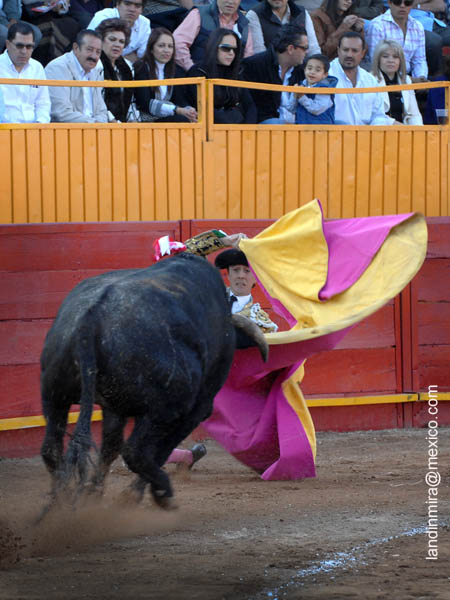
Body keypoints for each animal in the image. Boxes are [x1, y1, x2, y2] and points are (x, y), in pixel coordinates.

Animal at [39, 251, 268, 508]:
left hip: (54, 394)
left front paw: (93, 493)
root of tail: (91, 319)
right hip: (162, 410)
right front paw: (131, 493)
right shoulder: (194, 411)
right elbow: (160, 451)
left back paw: (61, 499)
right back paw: (159, 492)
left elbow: (110, 445)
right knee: (136, 452)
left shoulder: (114, 406)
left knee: (51, 449)